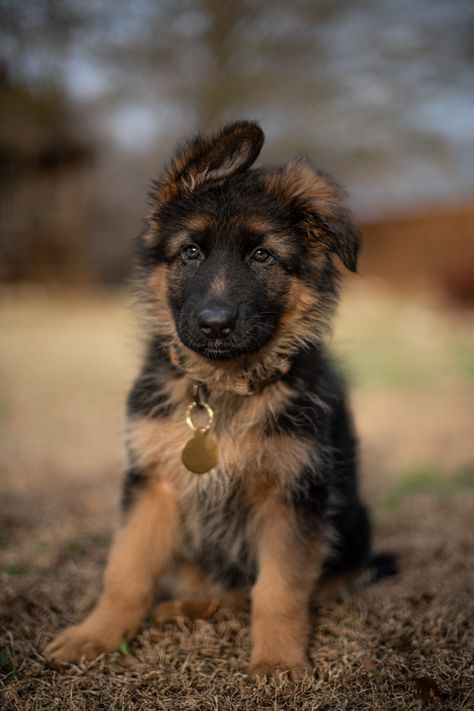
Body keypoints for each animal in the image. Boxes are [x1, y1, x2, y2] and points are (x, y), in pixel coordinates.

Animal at [44, 121, 386, 680]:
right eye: (191, 252)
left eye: (262, 255)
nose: (215, 325)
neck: (223, 387)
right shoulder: (153, 483)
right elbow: (126, 570)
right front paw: (96, 635)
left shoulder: (291, 494)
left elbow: (279, 589)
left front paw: (278, 660)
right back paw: (184, 607)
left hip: (353, 524)